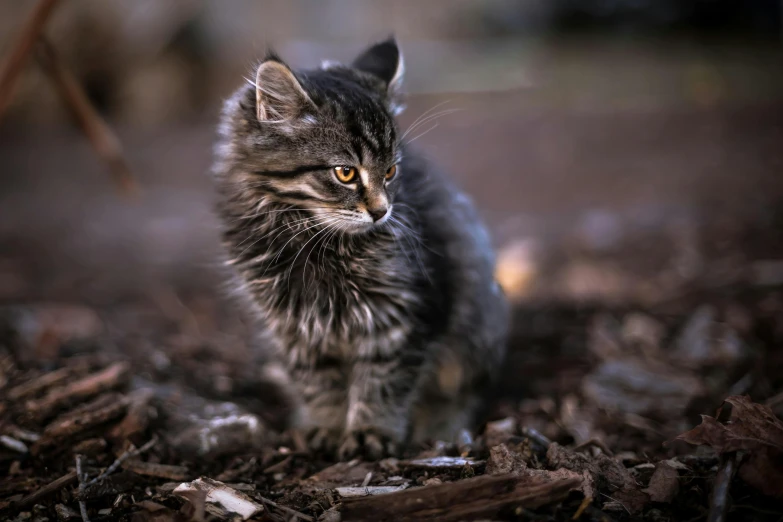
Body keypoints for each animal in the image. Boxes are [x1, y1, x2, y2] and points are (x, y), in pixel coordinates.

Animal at [213, 38, 508, 458]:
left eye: (390, 172)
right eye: (346, 173)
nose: (382, 211)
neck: (313, 241)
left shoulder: (403, 314)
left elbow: (383, 382)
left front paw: (371, 431)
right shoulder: (294, 329)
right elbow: (318, 385)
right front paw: (327, 427)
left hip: (478, 331)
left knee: (462, 393)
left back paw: (441, 428)